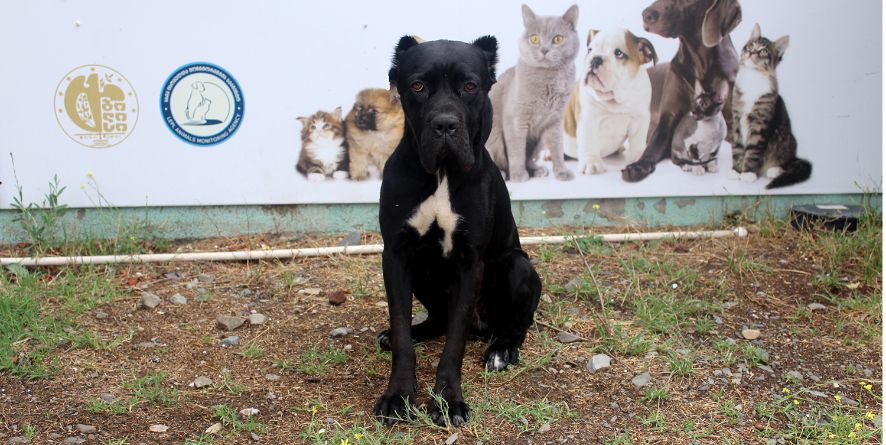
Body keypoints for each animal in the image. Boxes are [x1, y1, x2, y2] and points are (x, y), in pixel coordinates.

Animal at [372, 35, 540, 426]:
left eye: (470, 86)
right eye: (418, 86)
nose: (445, 125)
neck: (442, 174)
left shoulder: (469, 262)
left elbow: (455, 343)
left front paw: (448, 400)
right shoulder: (396, 255)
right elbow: (401, 330)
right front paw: (398, 395)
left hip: (519, 266)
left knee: (515, 324)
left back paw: (502, 350)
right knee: (436, 320)